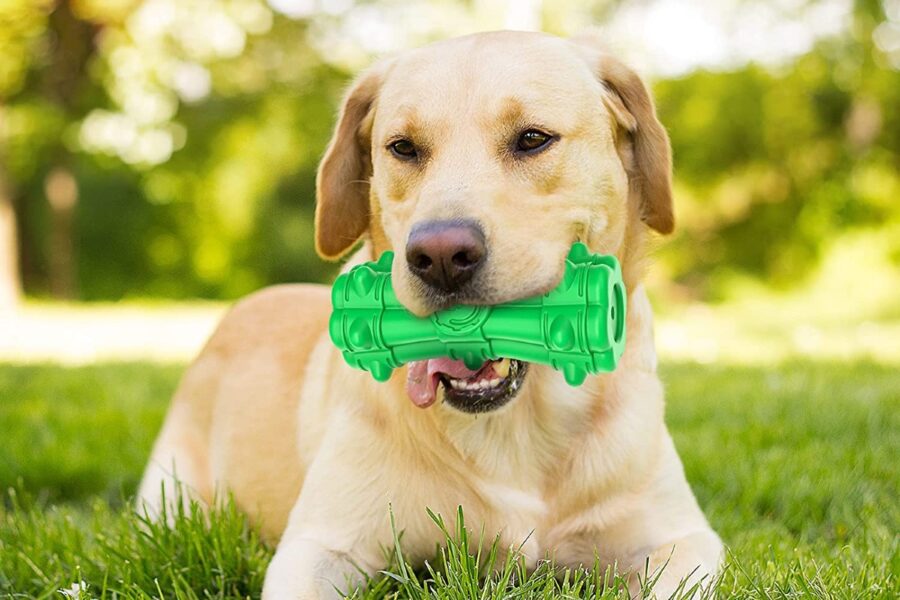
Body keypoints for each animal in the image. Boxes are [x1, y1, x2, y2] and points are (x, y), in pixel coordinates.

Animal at [135, 29, 724, 600]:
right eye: (403, 148)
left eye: (533, 138)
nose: (440, 255)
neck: (515, 423)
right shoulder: (319, 544)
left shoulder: (683, 540)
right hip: (169, 499)